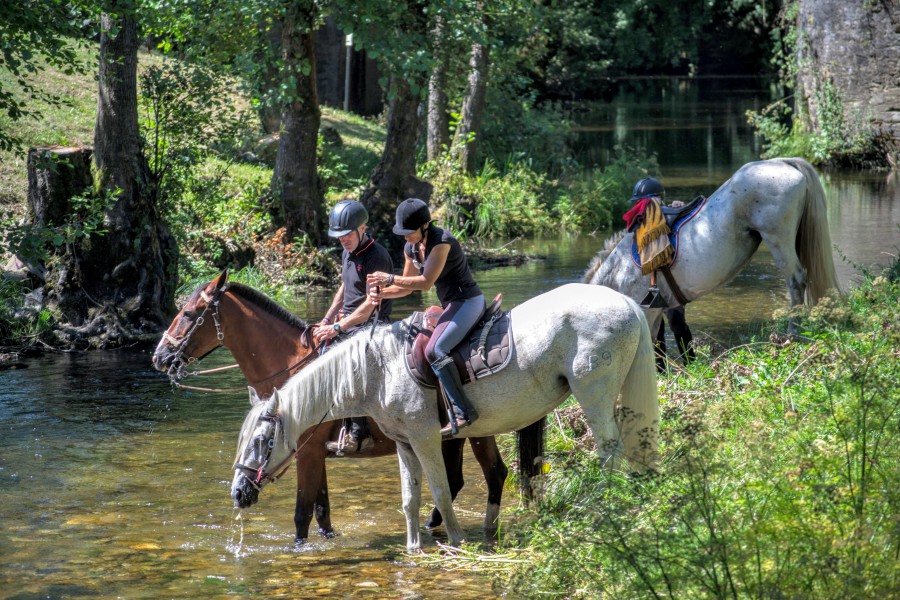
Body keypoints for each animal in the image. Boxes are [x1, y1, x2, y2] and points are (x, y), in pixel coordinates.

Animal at [151, 270, 510, 540]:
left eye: (187, 314)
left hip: (478, 431)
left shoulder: (307, 454)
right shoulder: (312, 453)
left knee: (493, 474)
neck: (292, 367)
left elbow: (302, 513)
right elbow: (322, 512)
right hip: (454, 436)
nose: (159, 356)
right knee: (459, 479)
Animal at [229, 284, 656, 552]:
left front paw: (454, 541)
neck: (377, 370)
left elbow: (439, 491)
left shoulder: (424, 438)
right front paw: (413, 548)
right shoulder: (404, 443)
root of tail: (627, 302)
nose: (237, 492)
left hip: (593, 397)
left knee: (610, 456)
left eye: (261, 442)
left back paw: (602, 511)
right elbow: (409, 498)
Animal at [588, 158, 840, 338]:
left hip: (778, 239)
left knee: (796, 280)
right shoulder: (662, 310)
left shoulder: (648, 312)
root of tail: (782, 162)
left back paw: (792, 333)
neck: (619, 271)